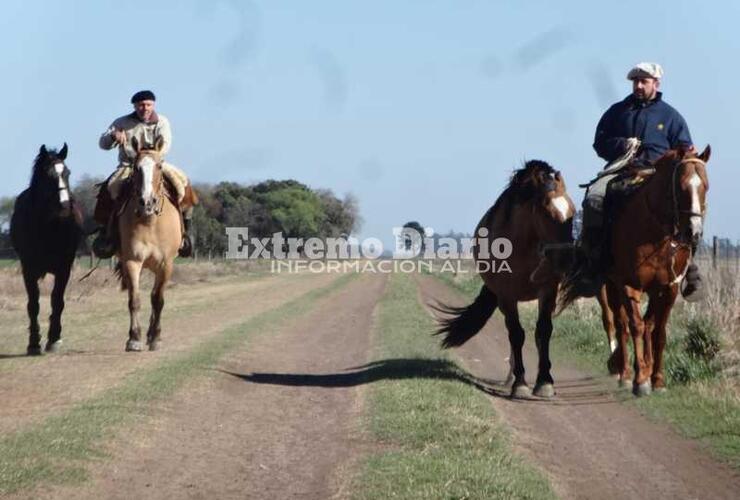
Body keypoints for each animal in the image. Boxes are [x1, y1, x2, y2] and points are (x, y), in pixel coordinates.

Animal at [10, 145, 83, 356]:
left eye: (67, 173)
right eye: (48, 175)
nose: (66, 206)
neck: (47, 226)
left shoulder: (64, 268)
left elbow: (57, 301)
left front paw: (54, 339)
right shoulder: (28, 270)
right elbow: (33, 304)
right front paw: (33, 343)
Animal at [116, 137, 198, 352]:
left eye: (159, 166)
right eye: (136, 168)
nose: (147, 202)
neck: (150, 221)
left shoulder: (165, 264)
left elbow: (158, 300)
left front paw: (155, 337)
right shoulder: (132, 262)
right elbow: (134, 300)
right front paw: (134, 338)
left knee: (155, 296)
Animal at [436, 160, 576, 398]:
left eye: (573, 212)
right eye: (547, 213)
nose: (567, 259)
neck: (524, 245)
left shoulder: (548, 290)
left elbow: (543, 330)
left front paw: (544, 382)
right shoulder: (507, 296)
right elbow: (517, 335)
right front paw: (520, 384)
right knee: (512, 333)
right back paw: (511, 376)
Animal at [560, 146, 712, 396]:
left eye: (705, 186)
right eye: (681, 186)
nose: (694, 232)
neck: (655, 234)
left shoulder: (668, 289)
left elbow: (658, 331)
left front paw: (657, 379)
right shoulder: (630, 285)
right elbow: (636, 326)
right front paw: (640, 379)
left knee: (644, 324)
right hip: (610, 285)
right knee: (620, 324)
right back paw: (623, 371)